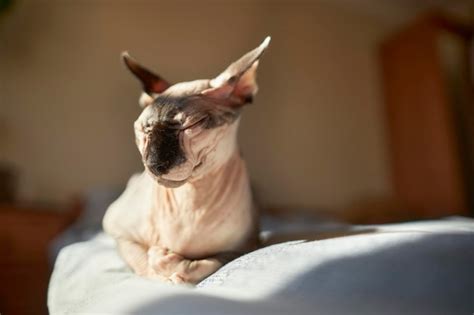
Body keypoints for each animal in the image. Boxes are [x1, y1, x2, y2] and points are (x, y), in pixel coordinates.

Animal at [103, 37, 270, 286]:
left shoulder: (244, 248)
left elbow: (207, 264)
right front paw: (160, 267)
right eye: (142, 129)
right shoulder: (116, 228)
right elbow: (142, 262)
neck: (192, 201)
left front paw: (173, 268)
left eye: (192, 125)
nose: (153, 164)